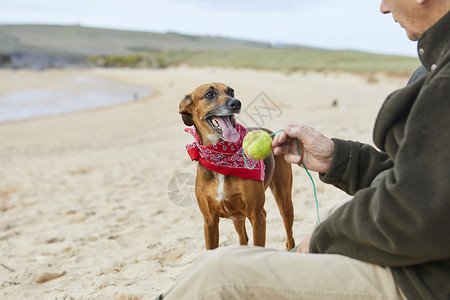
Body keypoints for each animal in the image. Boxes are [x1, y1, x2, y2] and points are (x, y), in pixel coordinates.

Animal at [179, 82, 296, 251]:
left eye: (231, 91)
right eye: (209, 94)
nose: (236, 103)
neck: (220, 156)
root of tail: (271, 133)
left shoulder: (257, 216)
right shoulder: (209, 221)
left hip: (284, 200)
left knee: (289, 238)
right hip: (237, 216)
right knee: (243, 239)